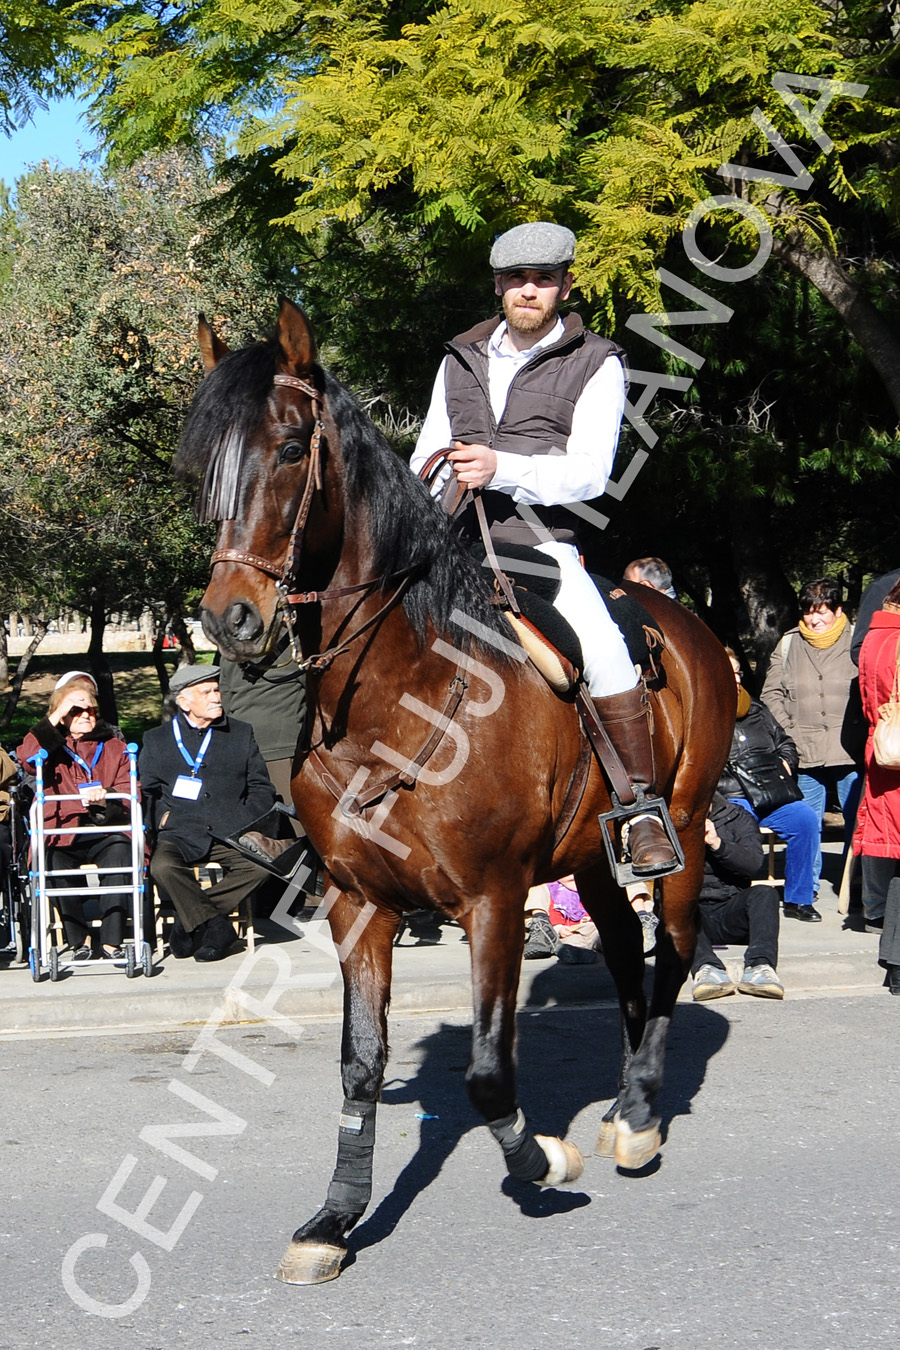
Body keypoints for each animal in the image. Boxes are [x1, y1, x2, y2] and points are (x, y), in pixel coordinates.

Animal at [179, 295, 734, 1285]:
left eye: (290, 447)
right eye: (206, 464)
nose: (228, 619)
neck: (398, 696)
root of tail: (684, 621)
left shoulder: (492, 898)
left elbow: (485, 1069)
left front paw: (542, 1159)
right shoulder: (359, 905)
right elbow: (360, 1063)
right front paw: (335, 1218)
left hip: (677, 830)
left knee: (671, 952)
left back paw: (638, 1114)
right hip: (590, 856)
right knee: (623, 951)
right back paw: (623, 1095)